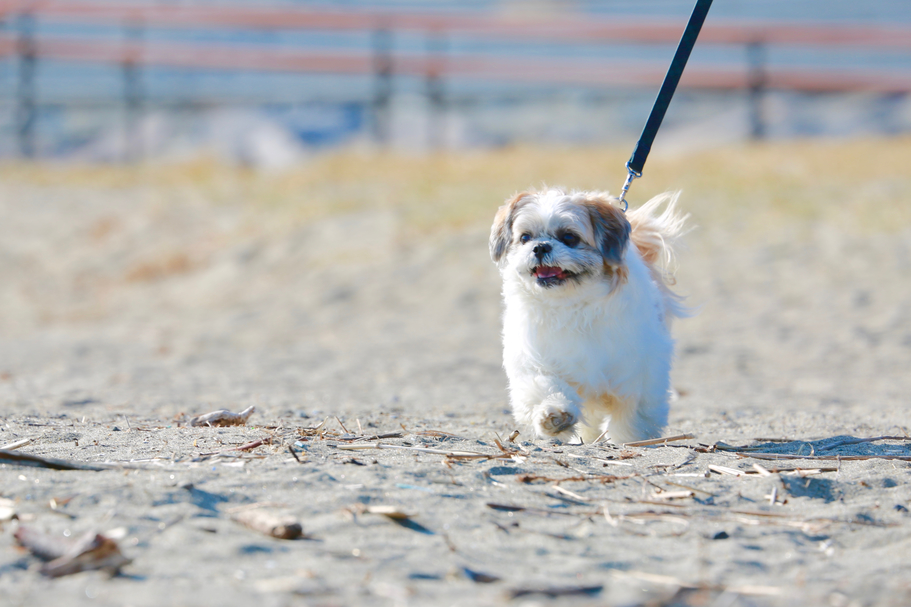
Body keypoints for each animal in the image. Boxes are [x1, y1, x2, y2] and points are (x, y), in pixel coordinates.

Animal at [492, 188, 692, 444]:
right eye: (525, 237)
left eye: (569, 237)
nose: (540, 247)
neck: (572, 304)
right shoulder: (535, 359)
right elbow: (543, 385)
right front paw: (554, 415)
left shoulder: (638, 369)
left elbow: (633, 411)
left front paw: (630, 438)